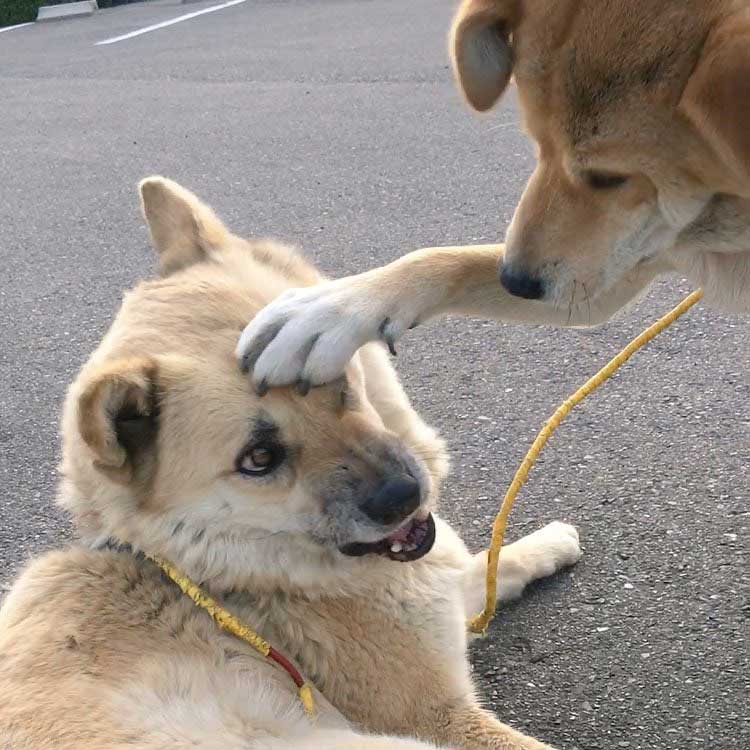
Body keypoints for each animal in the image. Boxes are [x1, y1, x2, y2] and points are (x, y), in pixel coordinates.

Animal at [0, 178, 584, 750]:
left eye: (329, 378)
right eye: (259, 459)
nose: (405, 496)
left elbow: (489, 567)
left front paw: (548, 544)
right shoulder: (436, 719)